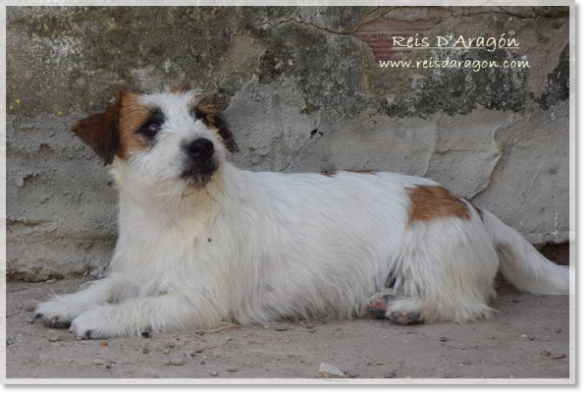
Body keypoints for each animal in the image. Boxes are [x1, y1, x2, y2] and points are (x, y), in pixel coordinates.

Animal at [33, 84, 572, 340]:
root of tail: (467, 202)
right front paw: (65, 304)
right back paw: (388, 300)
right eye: (150, 126)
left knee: (463, 304)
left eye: (204, 120)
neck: (174, 215)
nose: (204, 146)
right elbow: (108, 287)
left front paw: (98, 319)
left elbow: (137, 305)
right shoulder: (137, 271)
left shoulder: (197, 302)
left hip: (431, 250)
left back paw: (409, 308)